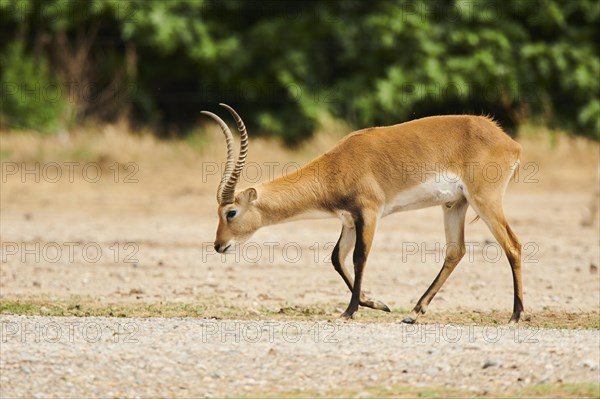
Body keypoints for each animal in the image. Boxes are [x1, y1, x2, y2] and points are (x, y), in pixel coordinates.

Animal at [204, 104, 524, 324]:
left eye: (231, 212)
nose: (219, 245)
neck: (337, 165)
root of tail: (508, 142)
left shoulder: (369, 213)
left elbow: (360, 257)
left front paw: (349, 311)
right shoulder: (349, 220)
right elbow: (337, 258)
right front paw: (377, 303)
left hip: (484, 201)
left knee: (513, 245)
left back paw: (515, 315)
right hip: (455, 205)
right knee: (455, 251)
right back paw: (413, 313)